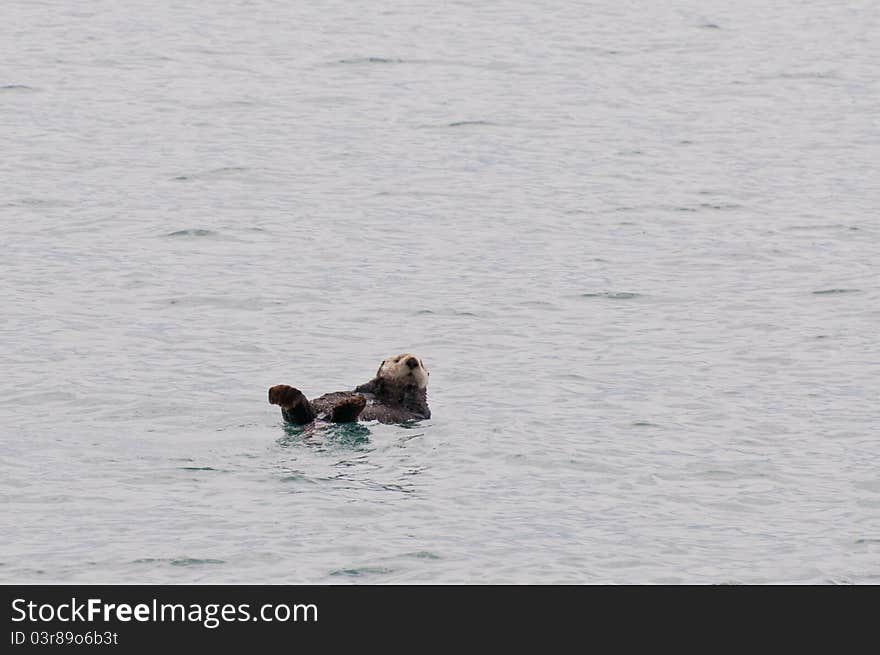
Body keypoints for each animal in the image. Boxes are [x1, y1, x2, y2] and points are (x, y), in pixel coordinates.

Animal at [268, 354, 434, 426]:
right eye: (397, 360)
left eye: (421, 363)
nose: (412, 361)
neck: (390, 395)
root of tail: (321, 419)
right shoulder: (369, 386)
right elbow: (364, 387)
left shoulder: (419, 409)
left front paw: (411, 388)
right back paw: (285, 393)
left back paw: (350, 404)